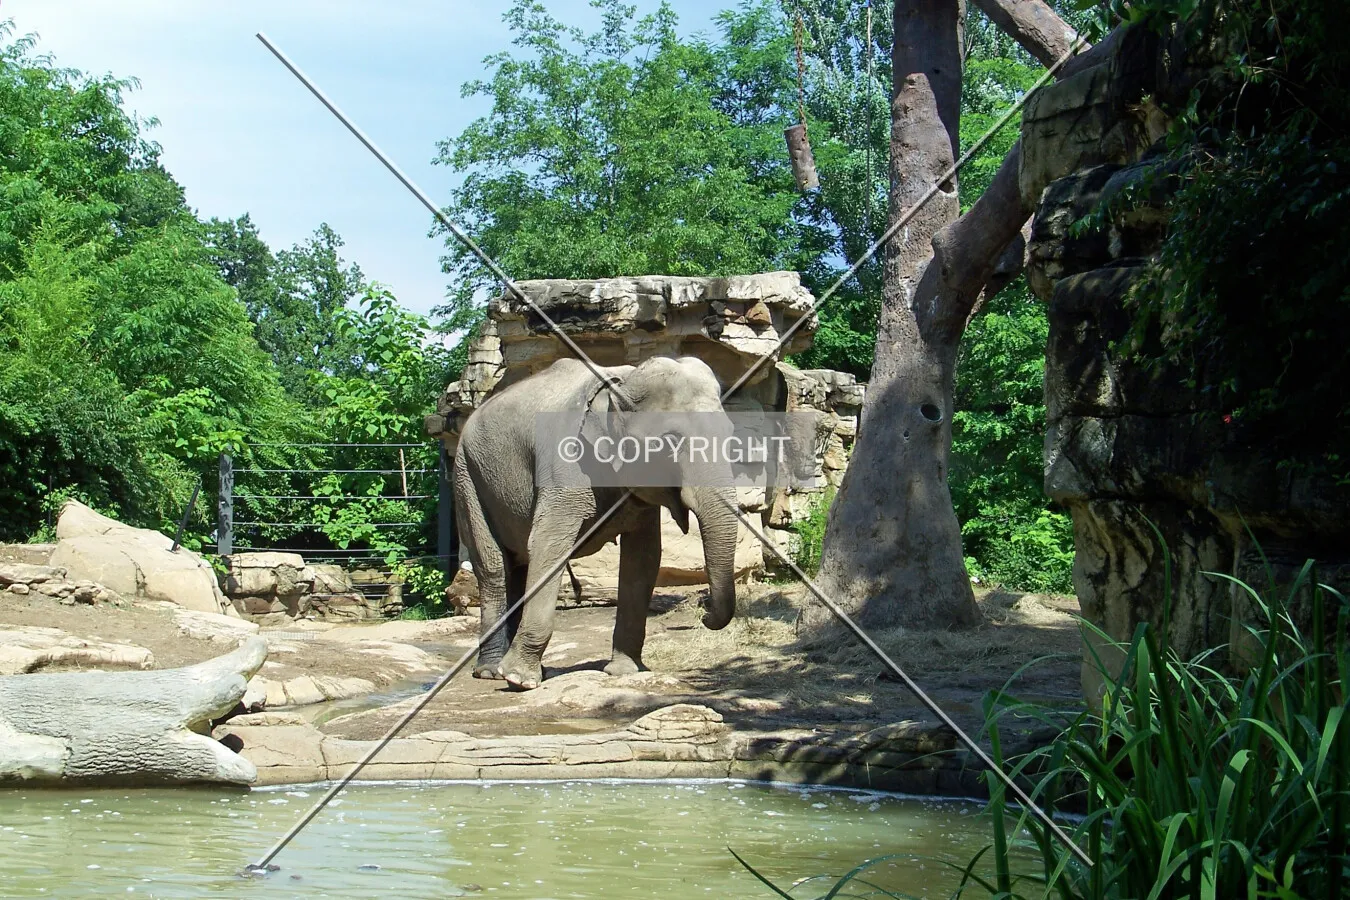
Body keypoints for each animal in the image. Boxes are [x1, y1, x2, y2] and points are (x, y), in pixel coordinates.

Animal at [453, 356, 740, 690]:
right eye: (670, 441)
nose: (704, 610)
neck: (622, 383)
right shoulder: (564, 468)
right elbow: (548, 546)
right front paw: (519, 681)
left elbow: (644, 557)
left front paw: (625, 671)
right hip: (468, 478)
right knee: (494, 568)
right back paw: (491, 671)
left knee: (518, 566)